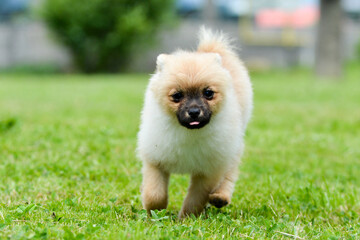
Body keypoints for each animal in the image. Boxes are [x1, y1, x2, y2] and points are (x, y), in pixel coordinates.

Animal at [138, 27, 253, 218]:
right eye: (177, 96)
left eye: (208, 93)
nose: (193, 112)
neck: (189, 134)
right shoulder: (156, 160)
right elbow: (155, 193)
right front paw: (155, 212)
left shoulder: (208, 171)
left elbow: (195, 199)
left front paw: (185, 218)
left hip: (233, 147)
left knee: (230, 172)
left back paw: (220, 196)